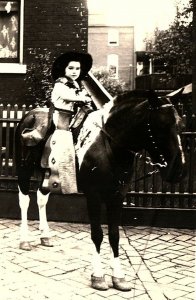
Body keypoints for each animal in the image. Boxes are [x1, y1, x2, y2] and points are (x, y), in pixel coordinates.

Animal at [14, 88, 185, 290]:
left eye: (180, 124)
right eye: (161, 125)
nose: (178, 170)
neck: (108, 145)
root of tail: (29, 115)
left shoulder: (117, 196)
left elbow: (114, 235)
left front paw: (119, 277)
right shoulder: (93, 196)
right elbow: (97, 234)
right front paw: (98, 276)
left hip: (49, 175)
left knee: (41, 198)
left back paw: (45, 235)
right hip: (23, 170)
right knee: (25, 200)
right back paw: (24, 240)